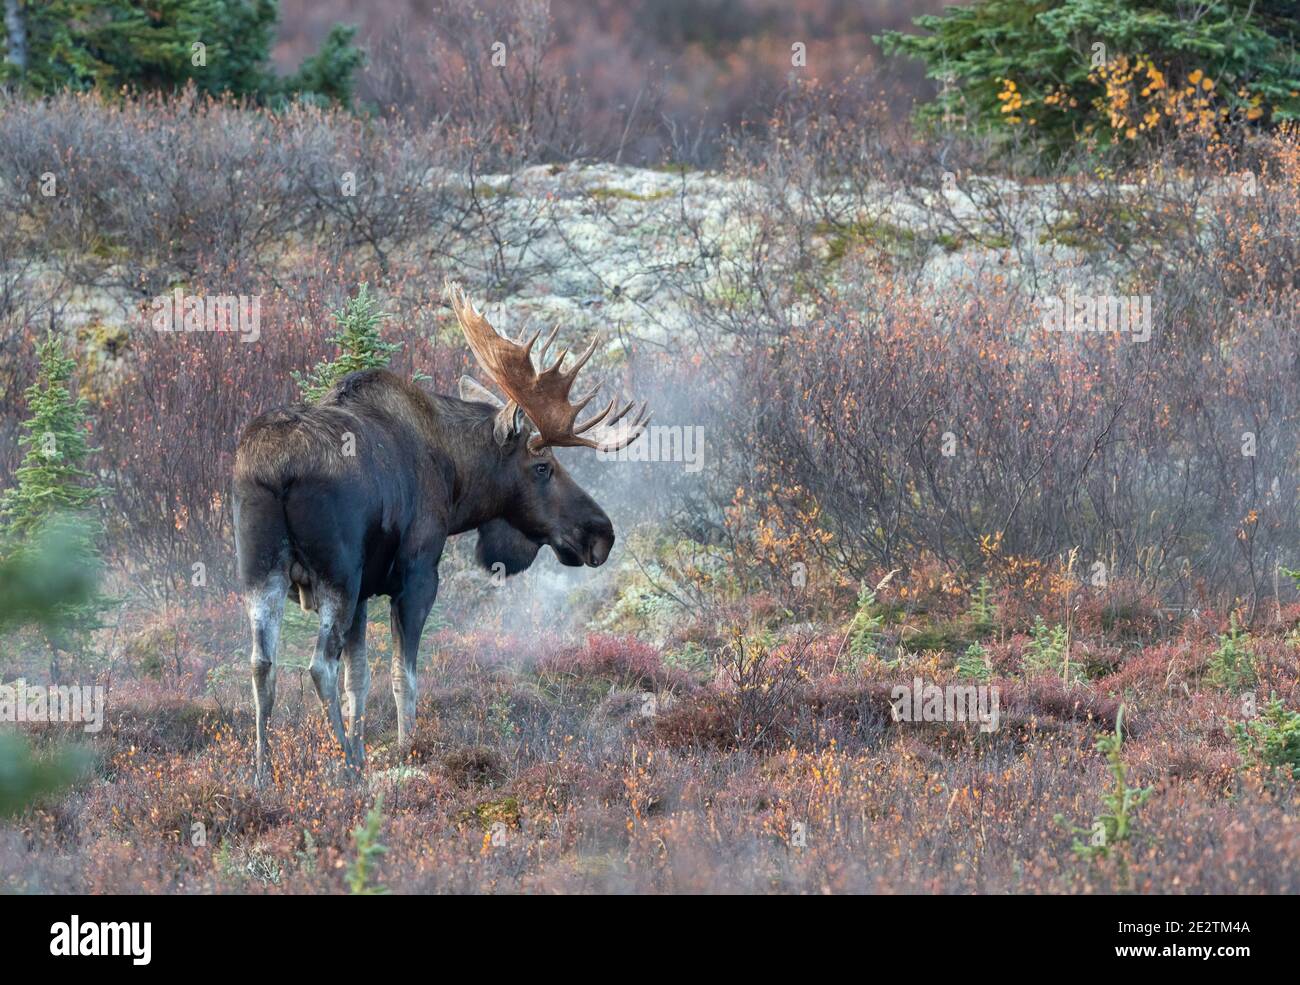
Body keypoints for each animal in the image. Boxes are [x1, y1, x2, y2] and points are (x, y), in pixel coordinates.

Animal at [232, 282, 648, 785]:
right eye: (542, 466)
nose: (600, 533)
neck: (455, 481)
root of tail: (277, 471)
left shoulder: (367, 590)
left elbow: (360, 678)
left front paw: (367, 750)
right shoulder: (416, 575)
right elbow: (402, 677)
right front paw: (405, 750)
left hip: (260, 569)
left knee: (262, 662)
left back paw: (263, 772)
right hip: (337, 574)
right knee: (318, 665)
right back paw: (345, 764)